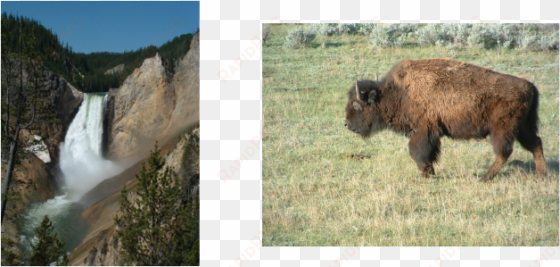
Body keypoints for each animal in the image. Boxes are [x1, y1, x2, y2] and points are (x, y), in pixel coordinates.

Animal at [346, 58, 548, 182]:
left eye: (356, 105)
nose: (346, 124)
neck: (401, 92)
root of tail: (529, 86)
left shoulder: (423, 130)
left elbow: (416, 151)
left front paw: (424, 174)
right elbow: (428, 153)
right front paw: (429, 172)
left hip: (503, 128)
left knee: (504, 152)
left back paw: (484, 178)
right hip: (523, 127)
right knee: (535, 144)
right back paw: (541, 176)